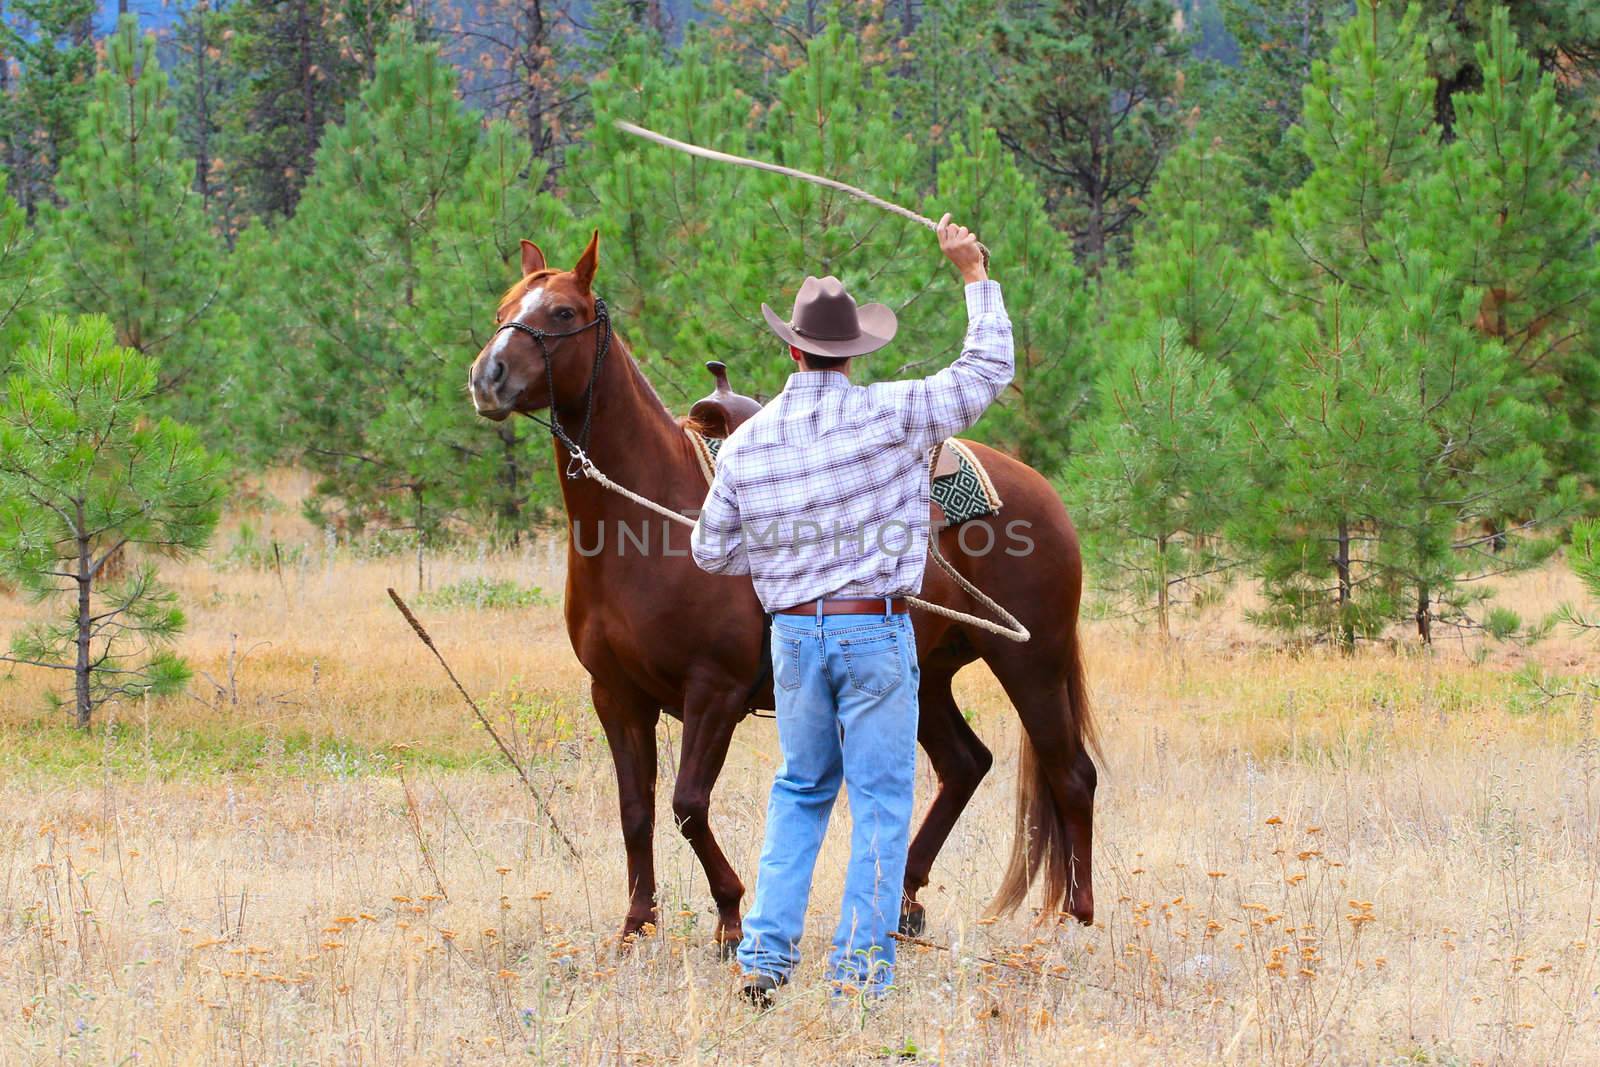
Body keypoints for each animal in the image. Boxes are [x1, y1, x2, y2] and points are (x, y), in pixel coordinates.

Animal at [457, 233, 1094, 953]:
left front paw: (731, 916)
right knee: (965, 764)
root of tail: (1039, 488)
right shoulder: (615, 695)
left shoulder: (714, 692)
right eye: (505, 307)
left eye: (563, 312)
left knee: (1071, 772)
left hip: (1031, 660)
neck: (647, 522)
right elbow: (636, 811)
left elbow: (686, 804)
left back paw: (1076, 914)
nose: (488, 377)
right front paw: (636, 924)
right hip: (927, 676)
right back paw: (904, 904)